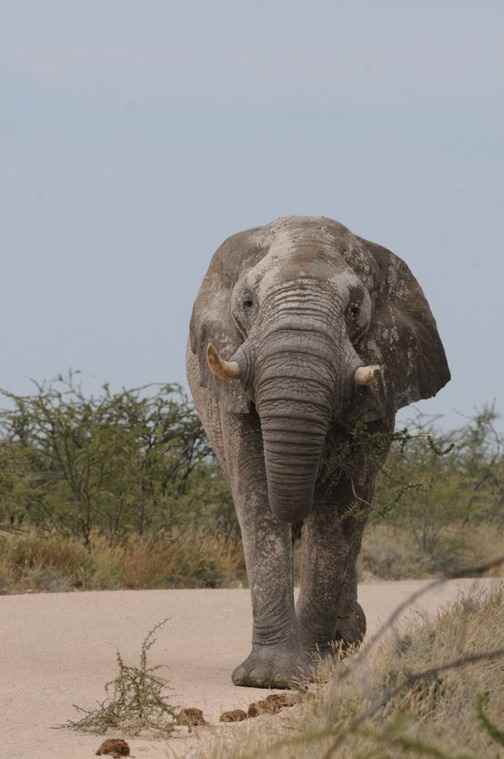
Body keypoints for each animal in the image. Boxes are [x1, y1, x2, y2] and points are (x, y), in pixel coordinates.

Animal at [187, 214, 450, 688]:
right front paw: (267, 679)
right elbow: (256, 497)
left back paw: (346, 639)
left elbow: (338, 506)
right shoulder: (228, 391)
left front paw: (313, 670)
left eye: (354, 310)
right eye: (248, 303)